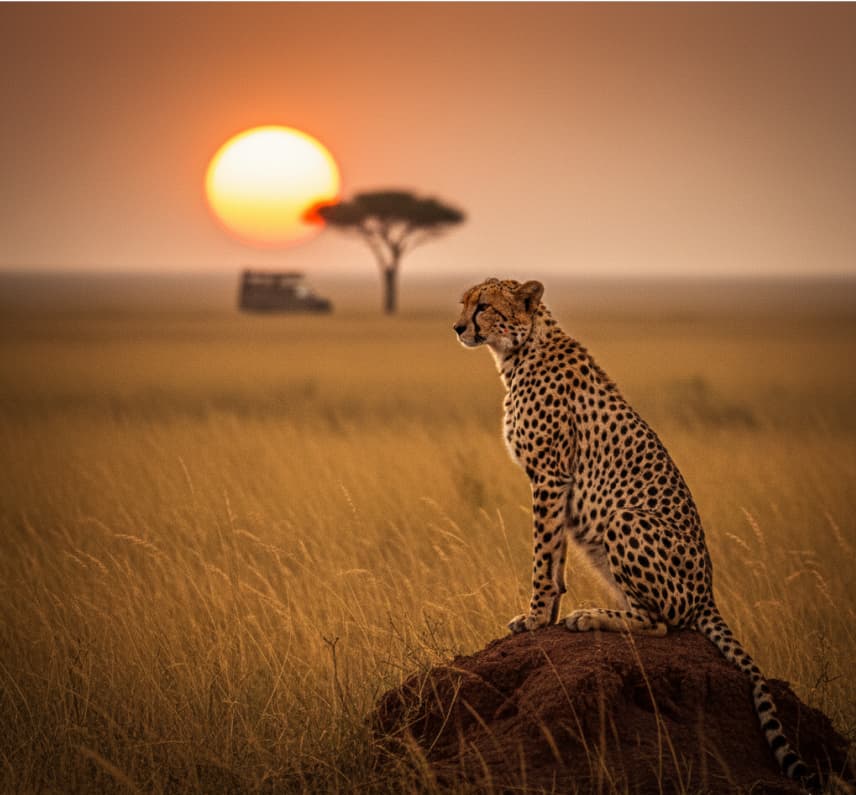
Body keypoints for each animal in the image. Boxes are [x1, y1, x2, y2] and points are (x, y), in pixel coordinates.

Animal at [453, 277, 817, 788]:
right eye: (463, 302)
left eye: (484, 306)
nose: (458, 327)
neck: (519, 351)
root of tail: (708, 593)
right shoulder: (556, 485)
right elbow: (555, 556)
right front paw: (546, 614)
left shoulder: (550, 476)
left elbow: (542, 557)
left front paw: (536, 618)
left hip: (625, 519)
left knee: (663, 622)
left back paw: (592, 616)